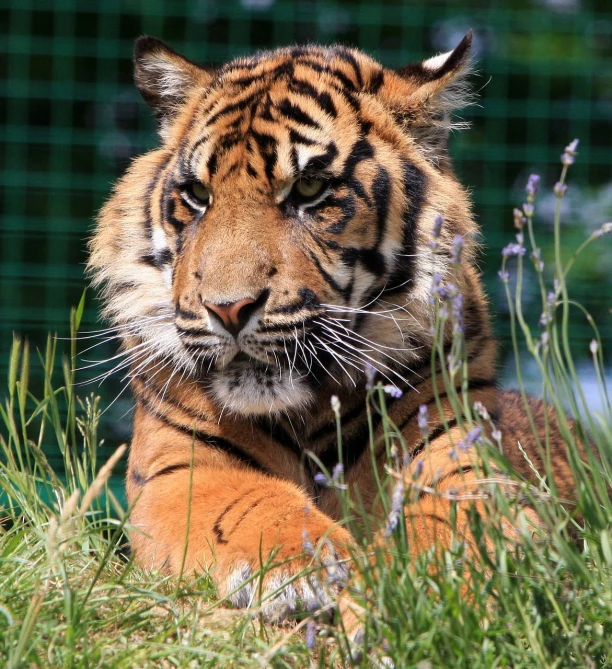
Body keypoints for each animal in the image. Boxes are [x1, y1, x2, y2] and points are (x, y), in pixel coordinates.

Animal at [87, 31, 580, 628]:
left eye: (309, 188)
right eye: (198, 196)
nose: (228, 309)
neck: (313, 409)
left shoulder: (454, 447)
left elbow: (466, 516)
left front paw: (453, 585)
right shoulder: (181, 467)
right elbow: (251, 504)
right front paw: (318, 563)